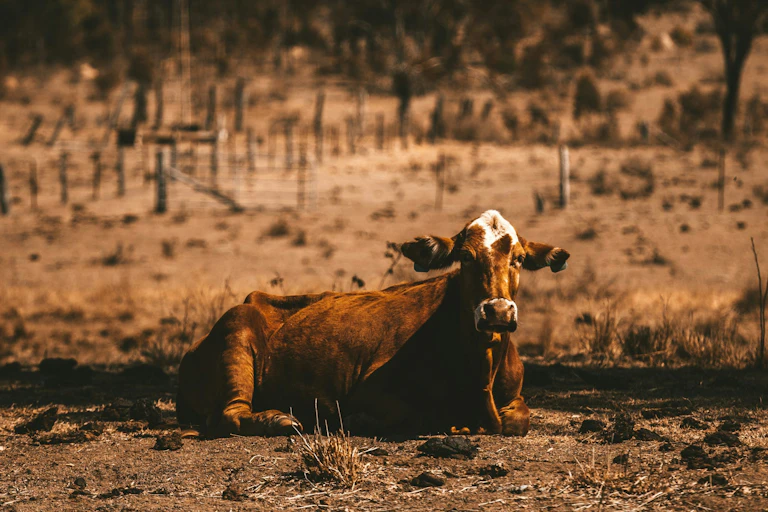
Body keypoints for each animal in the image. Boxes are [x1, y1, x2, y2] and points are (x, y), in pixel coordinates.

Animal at [177, 210, 569, 438]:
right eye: (466, 257)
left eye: (519, 258)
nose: (497, 312)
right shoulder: (369, 393)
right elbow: (415, 415)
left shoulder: (515, 397)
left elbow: (518, 420)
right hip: (236, 331)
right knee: (230, 414)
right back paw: (279, 420)